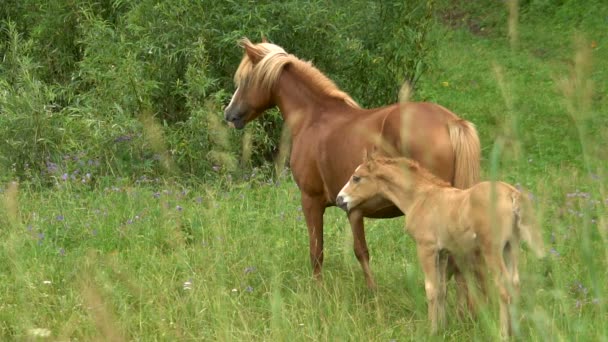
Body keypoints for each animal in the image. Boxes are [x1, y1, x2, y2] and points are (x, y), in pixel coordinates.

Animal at [223, 38, 480, 288]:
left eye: (245, 79)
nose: (229, 114)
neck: (314, 117)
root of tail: (451, 122)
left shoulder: (311, 201)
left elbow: (318, 251)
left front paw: (319, 292)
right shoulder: (352, 209)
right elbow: (360, 251)